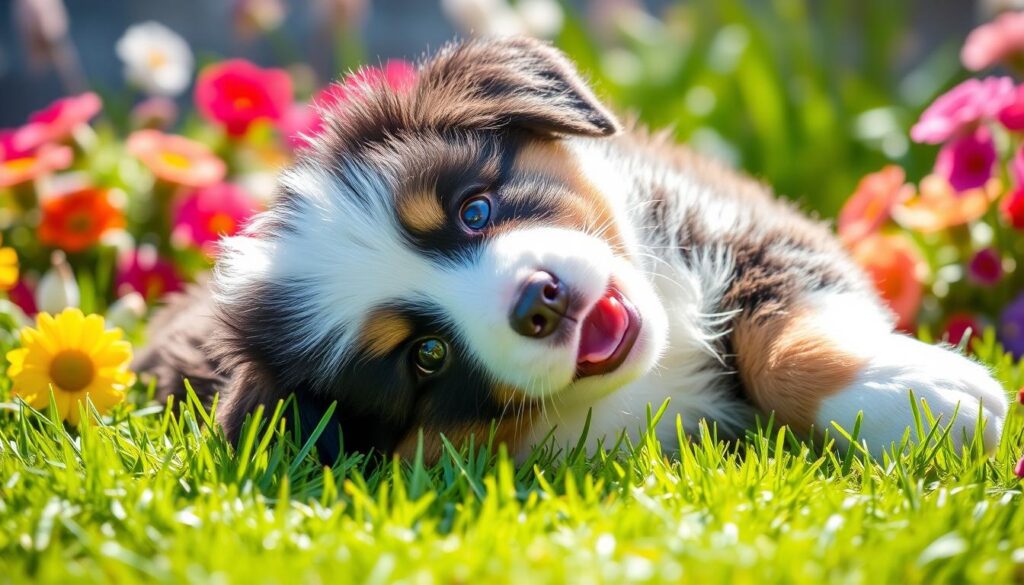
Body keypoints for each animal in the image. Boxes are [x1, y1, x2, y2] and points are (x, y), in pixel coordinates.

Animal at [136, 38, 1007, 465]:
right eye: (425, 356)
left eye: (475, 210)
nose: (540, 300)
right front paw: (931, 400)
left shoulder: (725, 213)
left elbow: (777, 333)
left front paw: (916, 389)